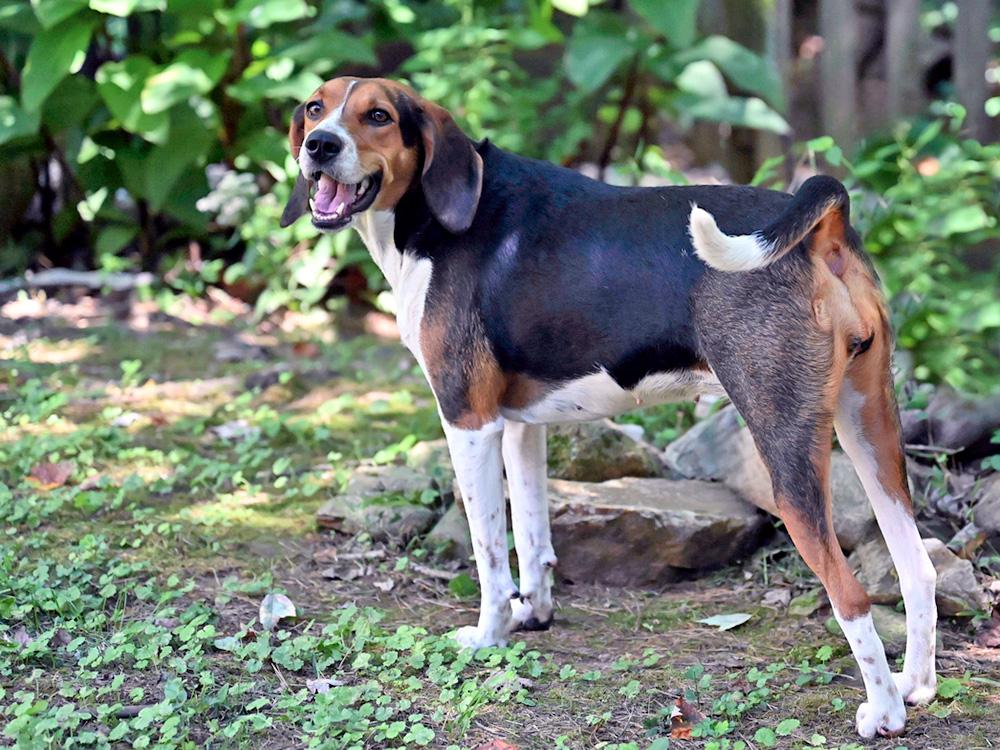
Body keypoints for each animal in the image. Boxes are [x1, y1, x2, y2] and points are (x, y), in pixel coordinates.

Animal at [282, 78, 936, 740]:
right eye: (315, 107)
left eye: (378, 116)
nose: (320, 145)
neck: (434, 220)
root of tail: (825, 226)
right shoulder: (519, 428)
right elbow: (532, 537)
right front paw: (533, 616)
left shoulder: (468, 421)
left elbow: (490, 554)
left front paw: (489, 636)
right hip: (869, 431)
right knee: (917, 568)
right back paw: (916, 686)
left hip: (787, 454)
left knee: (851, 594)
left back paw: (885, 713)